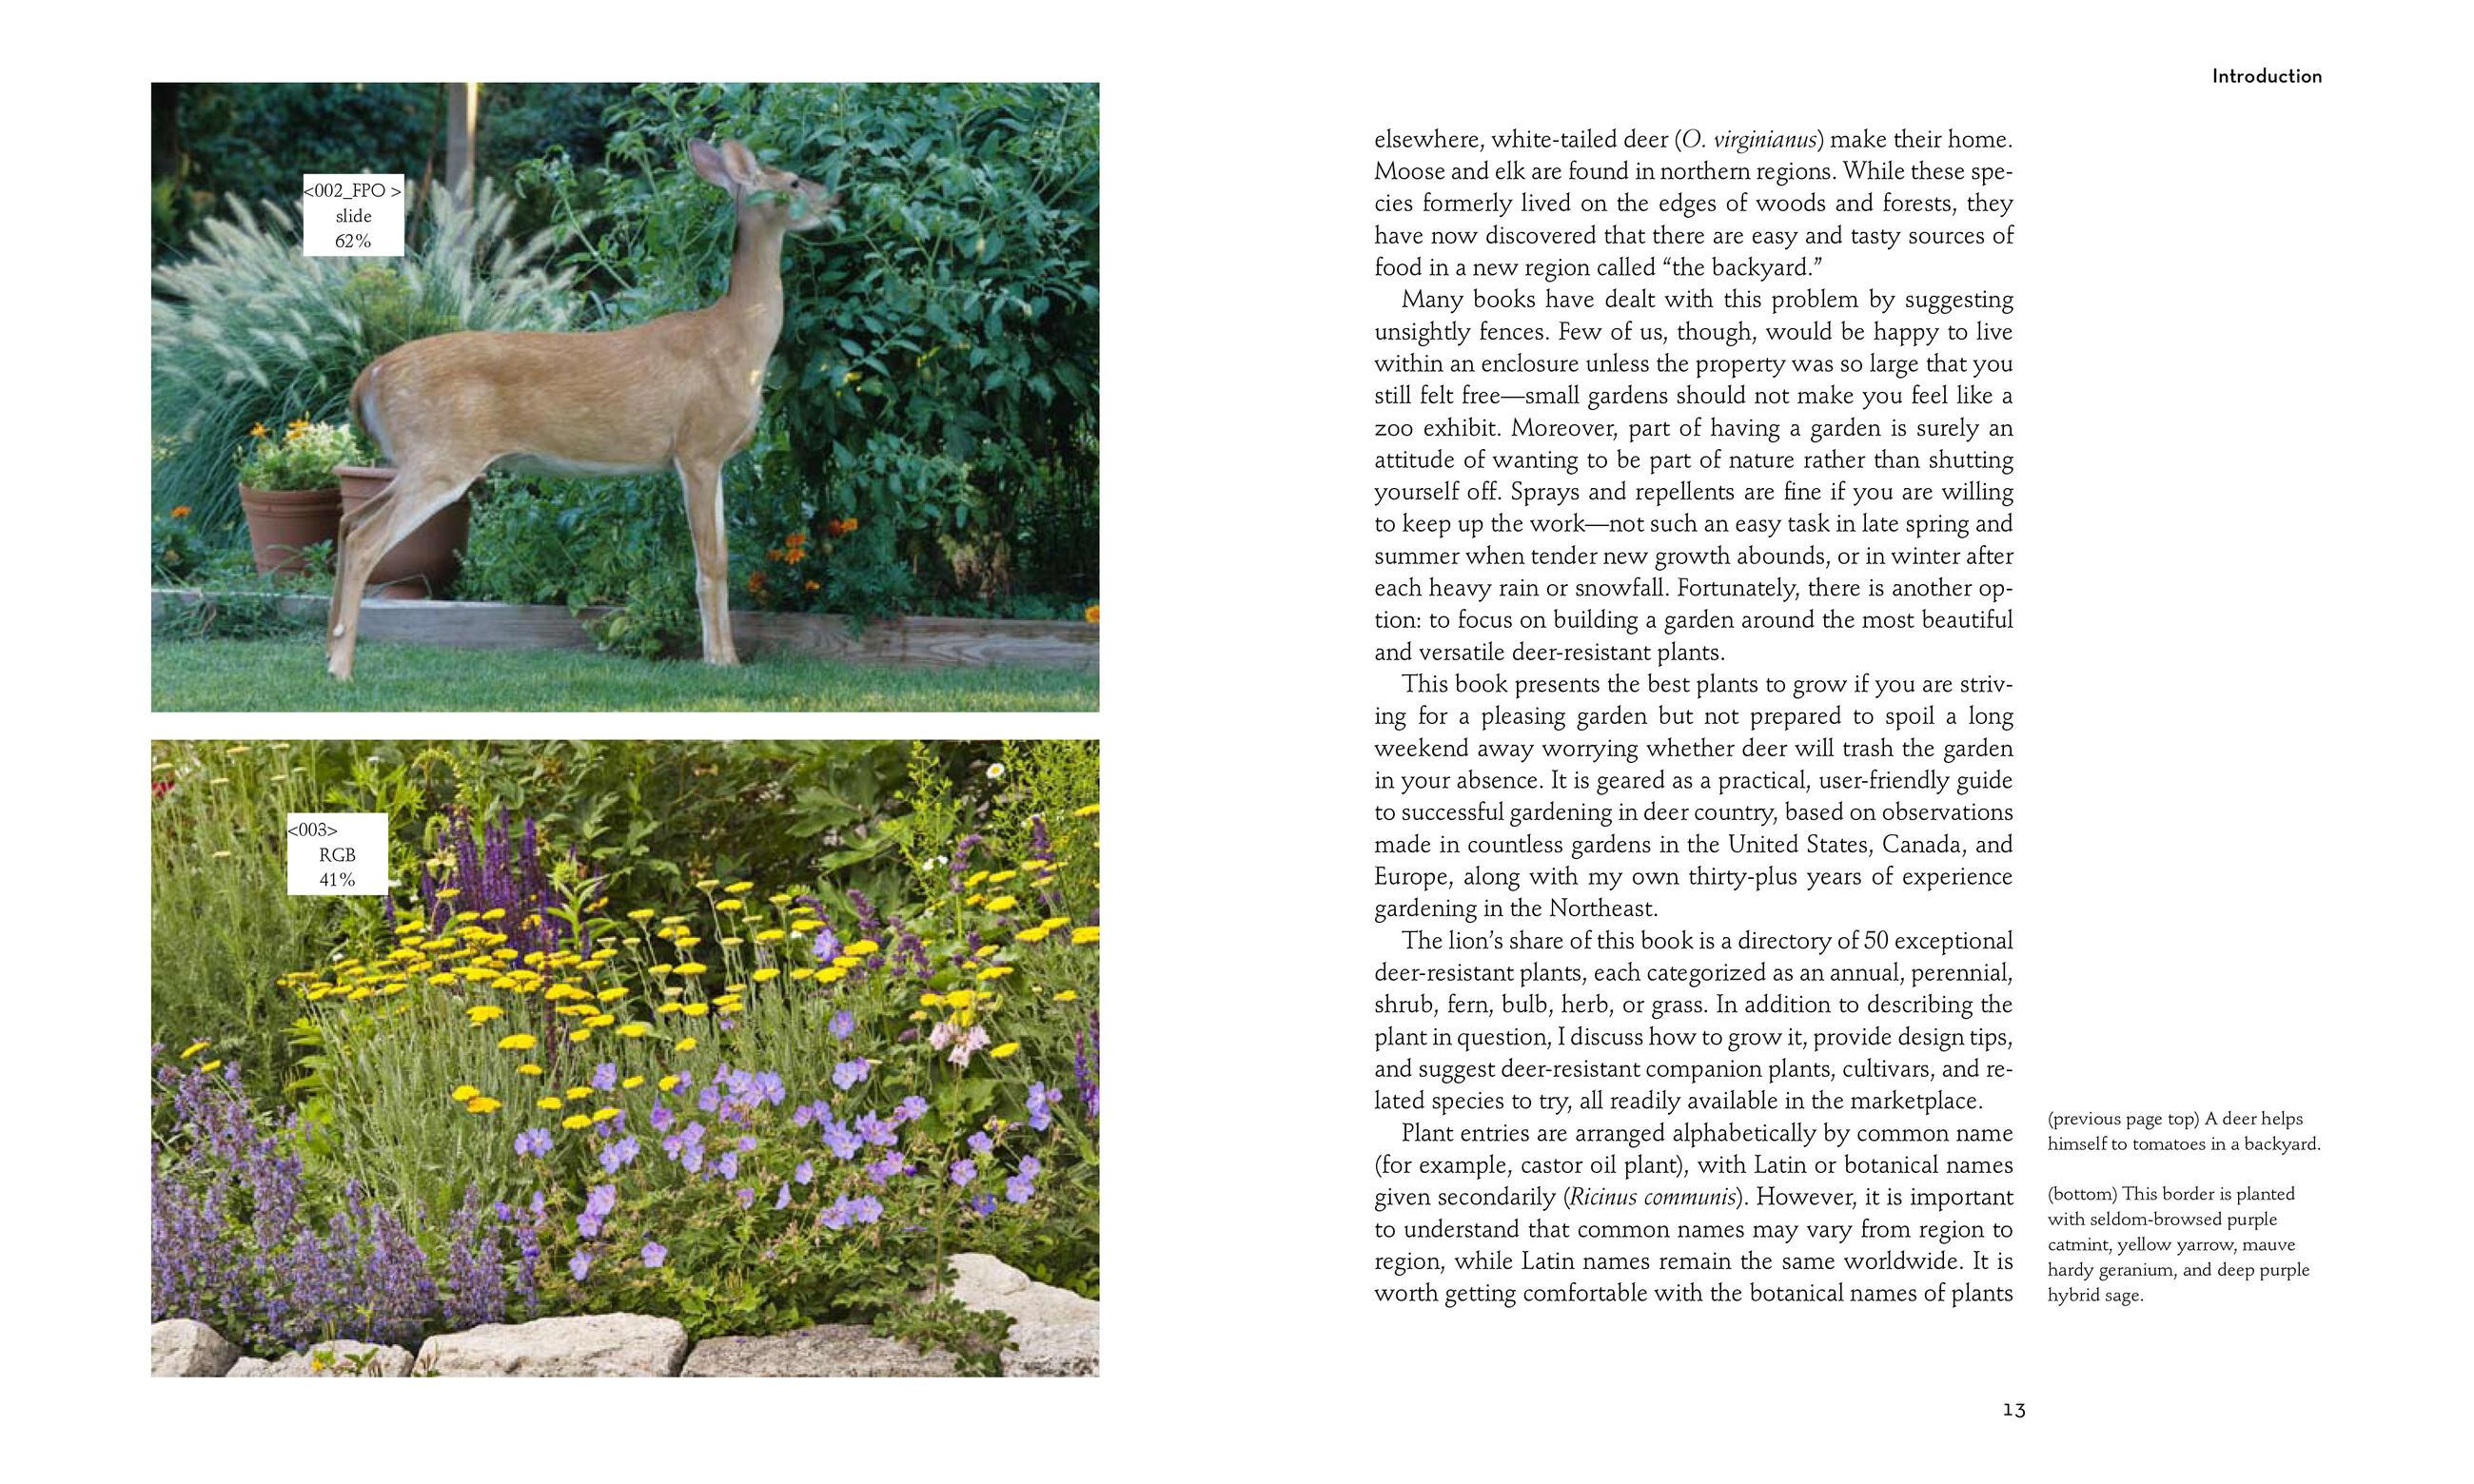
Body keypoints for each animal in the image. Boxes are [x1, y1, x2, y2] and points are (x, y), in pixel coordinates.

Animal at [326, 138, 839, 680]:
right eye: (795, 181)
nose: (837, 198)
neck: (736, 339)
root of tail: (369, 378)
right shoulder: (697, 447)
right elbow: (711, 564)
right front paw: (721, 662)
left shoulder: (712, 458)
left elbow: (721, 555)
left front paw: (729, 657)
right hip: (440, 457)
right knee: (365, 541)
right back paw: (341, 669)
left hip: (417, 460)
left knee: (349, 523)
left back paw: (328, 651)